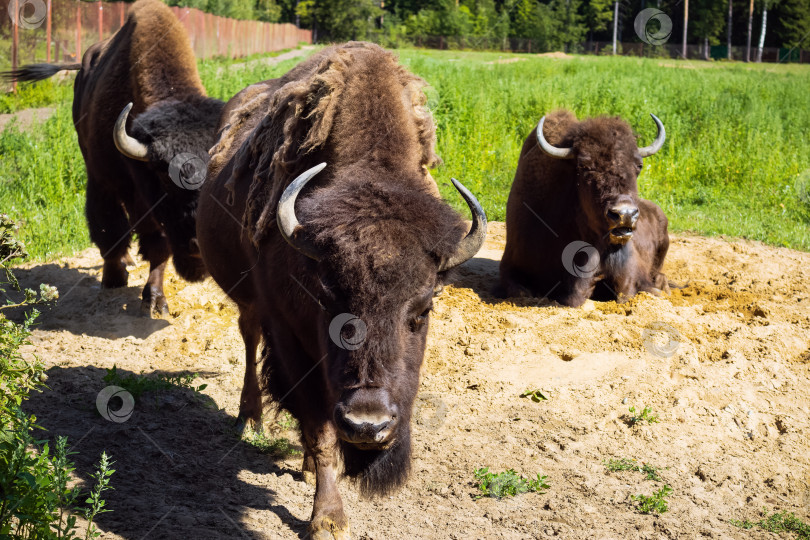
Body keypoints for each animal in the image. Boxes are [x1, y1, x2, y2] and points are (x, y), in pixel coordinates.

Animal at [3, 0, 221, 316]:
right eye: (164, 178)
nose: (199, 246)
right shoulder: (103, 182)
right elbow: (109, 229)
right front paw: (114, 278)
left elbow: (157, 247)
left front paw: (155, 300)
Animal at [196, 43, 486, 540]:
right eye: (326, 300)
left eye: (423, 309)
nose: (368, 425)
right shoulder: (289, 336)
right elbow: (319, 428)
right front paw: (328, 519)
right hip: (248, 300)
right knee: (249, 338)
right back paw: (249, 419)